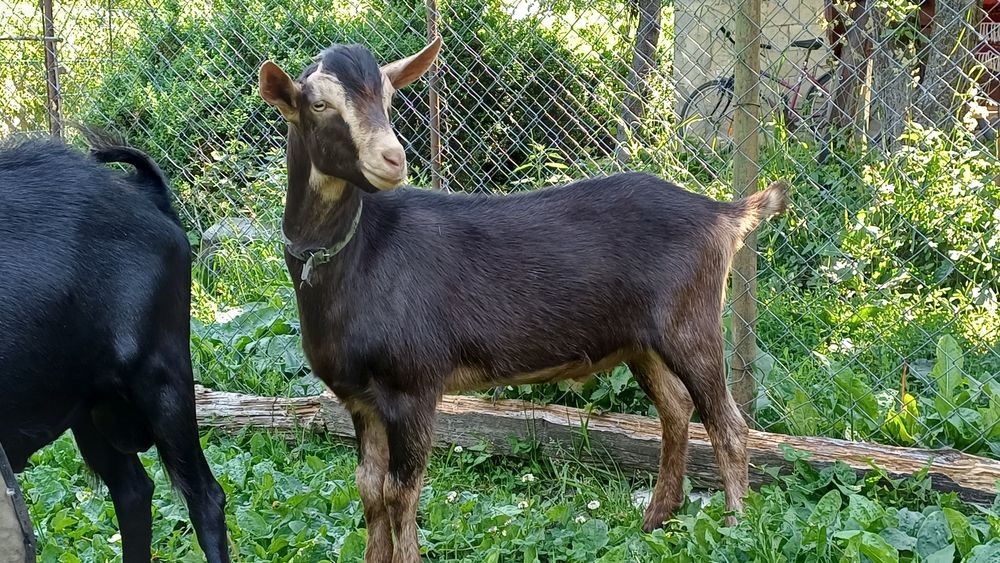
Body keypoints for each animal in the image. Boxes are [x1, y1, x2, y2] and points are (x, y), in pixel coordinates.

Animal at [258, 37, 788, 563]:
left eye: (390, 99)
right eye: (318, 104)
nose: (392, 158)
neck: (357, 255)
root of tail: (723, 214)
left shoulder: (413, 387)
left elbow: (399, 493)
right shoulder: (358, 398)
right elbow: (368, 488)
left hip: (691, 324)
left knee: (729, 425)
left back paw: (736, 528)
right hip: (640, 341)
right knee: (676, 409)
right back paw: (656, 519)